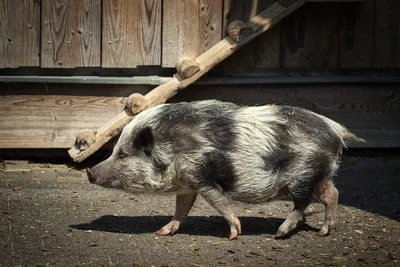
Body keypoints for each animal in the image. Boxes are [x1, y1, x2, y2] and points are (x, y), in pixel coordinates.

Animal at [86, 99, 364, 240]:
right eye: (114, 151)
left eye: (122, 154)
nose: (89, 171)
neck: (171, 148)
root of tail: (335, 128)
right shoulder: (187, 182)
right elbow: (181, 207)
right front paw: (163, 232)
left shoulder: (202, 175)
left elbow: (219, 202)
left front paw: (234, 235)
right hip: (319, 173)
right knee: (333, 194)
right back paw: (324, 232)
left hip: (303, 173)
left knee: (303, 202)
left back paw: (279, 234)